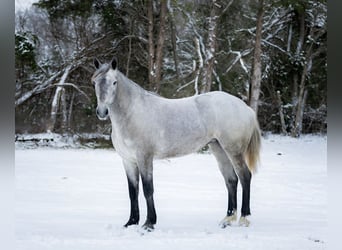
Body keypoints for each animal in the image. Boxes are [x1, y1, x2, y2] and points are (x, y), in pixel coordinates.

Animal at [91, 56, 262, 230]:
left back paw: (244, 218)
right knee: (231, 180)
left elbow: (147, 189)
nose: (102, 112)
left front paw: (149, 223)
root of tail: (246, 108)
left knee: (245, 177)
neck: (132, 113)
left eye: (114, 82)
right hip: (219, 148)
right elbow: (133, 192)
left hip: (234, 150)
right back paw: (228, 219)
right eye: (94, 83)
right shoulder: (128, 160)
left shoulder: (144, 158)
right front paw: (131, 222)